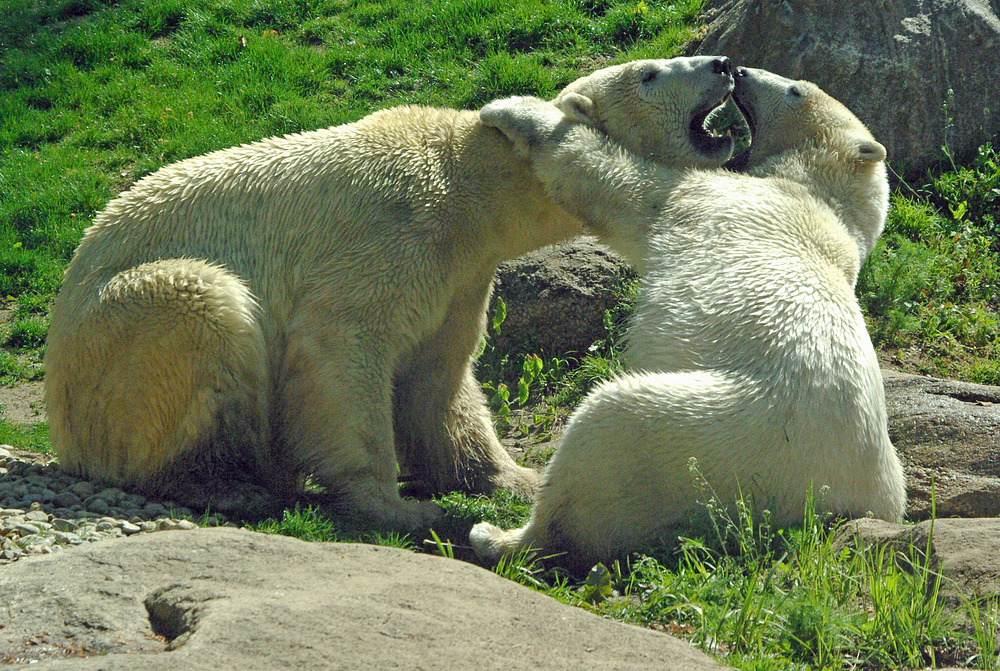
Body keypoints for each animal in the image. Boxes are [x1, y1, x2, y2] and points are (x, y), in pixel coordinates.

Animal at [472, 67, 912, 568]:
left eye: (796, 89)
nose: (739, 70)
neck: (825, 202)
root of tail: (833, 504)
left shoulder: (719, 197)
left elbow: (617, 182)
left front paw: (513, 109)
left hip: (724, 435)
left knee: (609, 427)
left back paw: (501, 535)